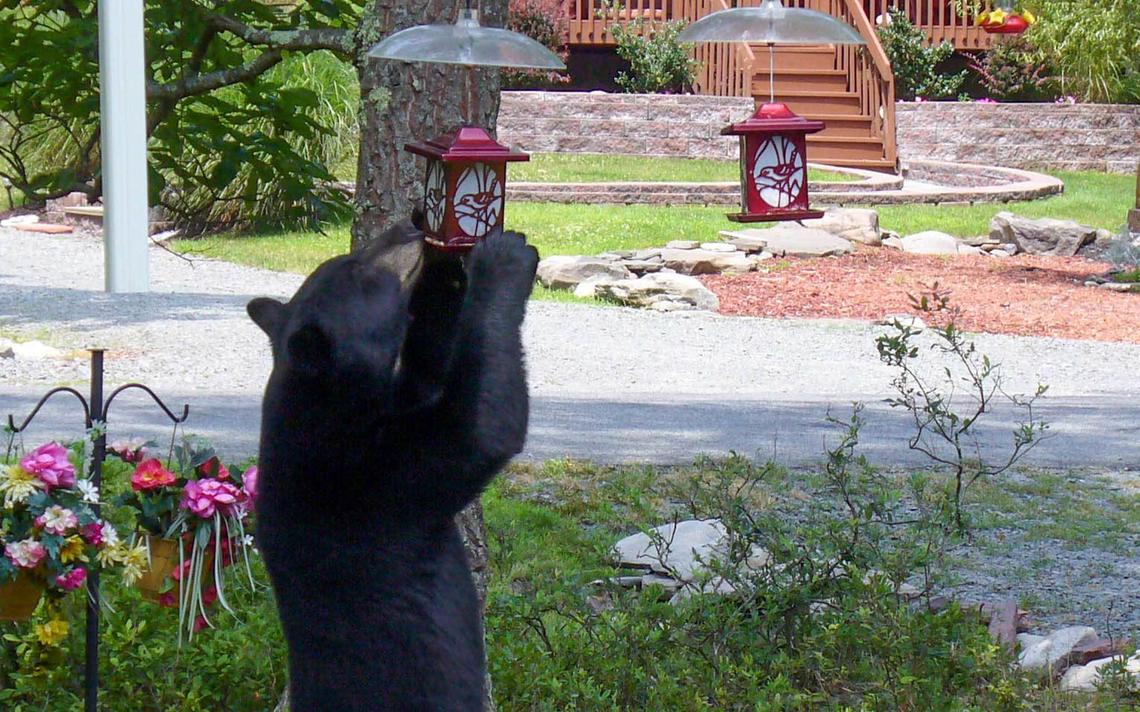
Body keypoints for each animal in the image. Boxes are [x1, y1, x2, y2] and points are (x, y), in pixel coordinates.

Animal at [247, 223, 539, 711]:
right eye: (359, 269)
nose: (407, 228)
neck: (325, 401)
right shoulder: (367, 476)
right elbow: (478, 426)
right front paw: (500, 258)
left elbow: (429, 376)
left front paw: (445, 276)